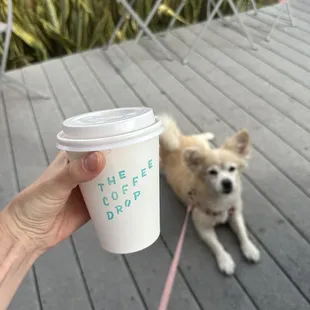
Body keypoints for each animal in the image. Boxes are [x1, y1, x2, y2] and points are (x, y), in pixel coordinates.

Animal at [159, 115, 260, 274]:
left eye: (232, 169)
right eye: (212, 172)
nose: (227, 183)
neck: (221, 199)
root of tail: (177, 139)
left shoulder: (235, 214)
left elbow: (242, 232)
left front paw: (249, 248)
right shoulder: (203, 228)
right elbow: (216, 245)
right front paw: (225, 260)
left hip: (202, 145)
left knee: (198, 136)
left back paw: (207, 135)